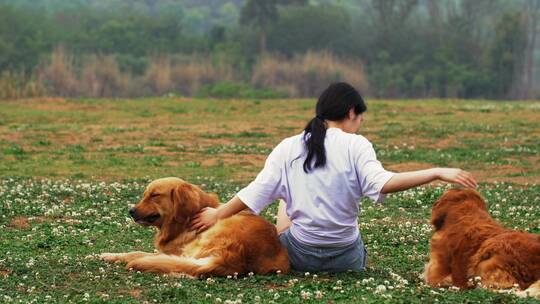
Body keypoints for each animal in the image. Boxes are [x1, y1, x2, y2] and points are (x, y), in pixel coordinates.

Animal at [99, 177, 288, 276]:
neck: (185, 221)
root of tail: (236, 255)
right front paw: (109, 255)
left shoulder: (173, 251)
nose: (131, 211)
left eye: (154, 195)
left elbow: (136, 252)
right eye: (145, 195)